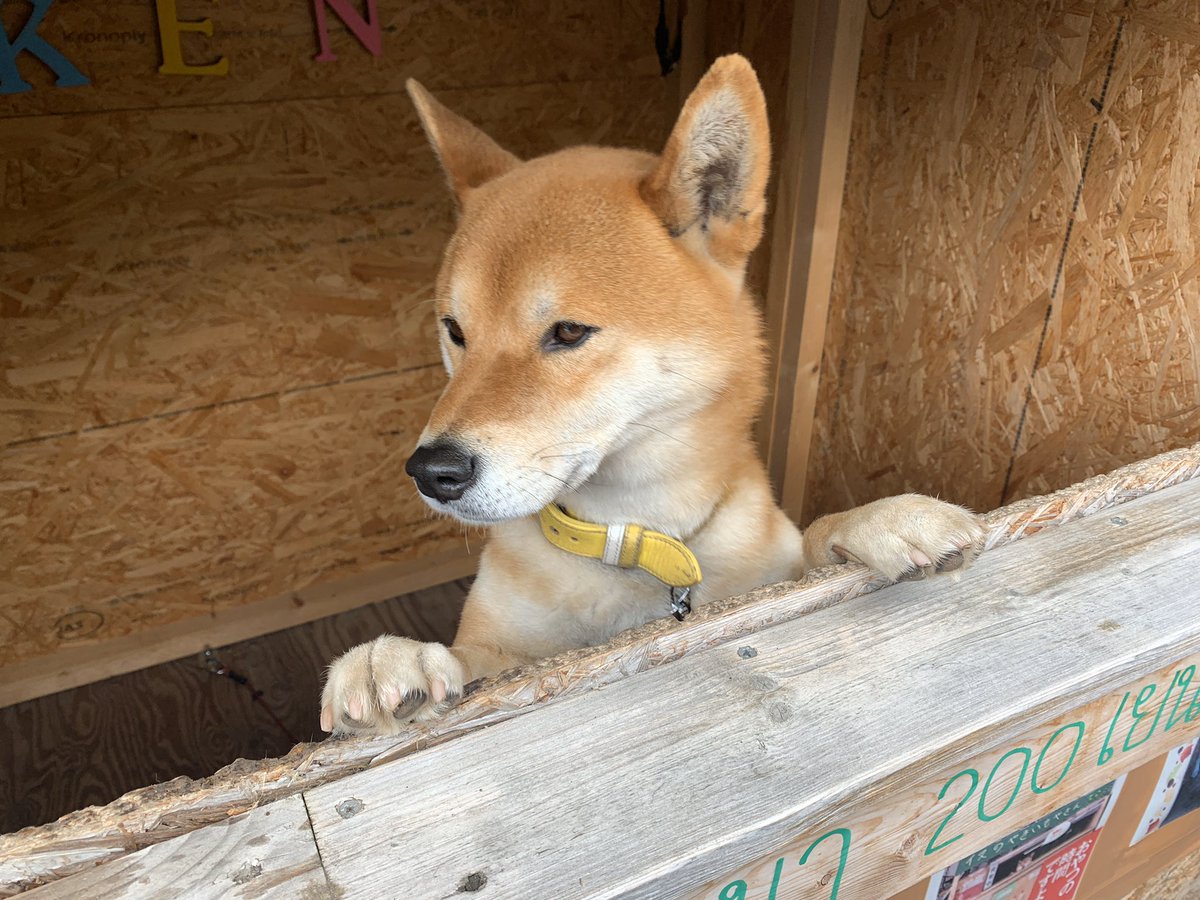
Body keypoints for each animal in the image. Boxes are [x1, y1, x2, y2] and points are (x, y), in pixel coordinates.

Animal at [321, 52, 984, 734]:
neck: (635, 538)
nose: (432, 471)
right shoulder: (503, 647)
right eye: (455, 331)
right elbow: (470, 660)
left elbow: (814, 543)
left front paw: (882, 518)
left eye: (568, 332)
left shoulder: (769, 571)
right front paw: (387, 659)